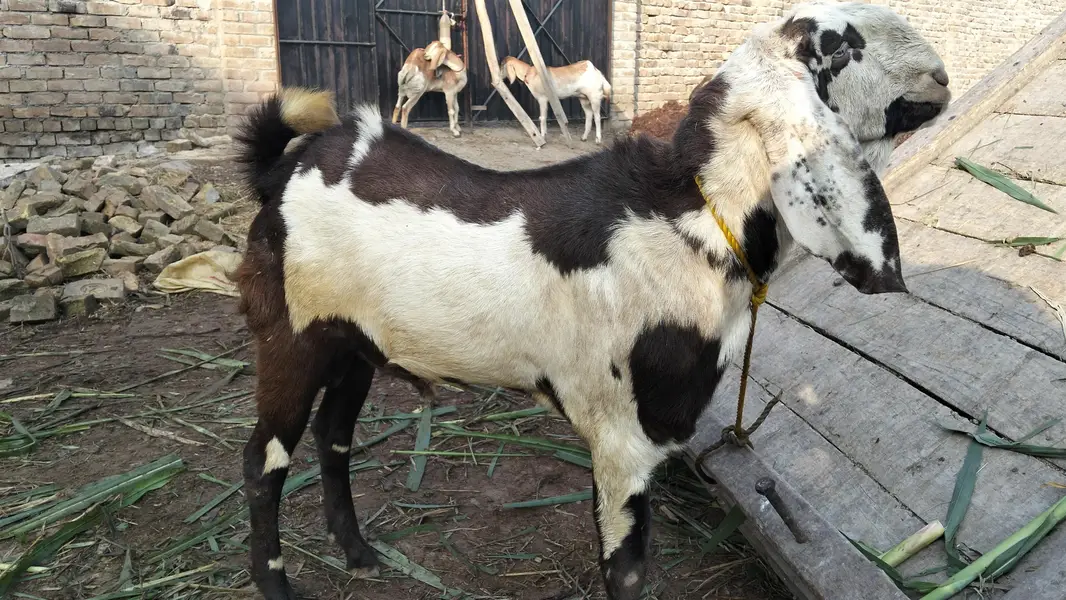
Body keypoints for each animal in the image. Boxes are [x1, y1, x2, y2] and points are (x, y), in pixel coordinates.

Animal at [233, 3, 951, 599]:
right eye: (838, 45)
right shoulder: (622, 442)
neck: (689, 222)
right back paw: (278, 585)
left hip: (352, 344)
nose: (940, 75)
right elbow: (625, 569)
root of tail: (283, 168)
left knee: (332, 440)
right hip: (288, 337)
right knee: (264, 460)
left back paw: (360, 555)